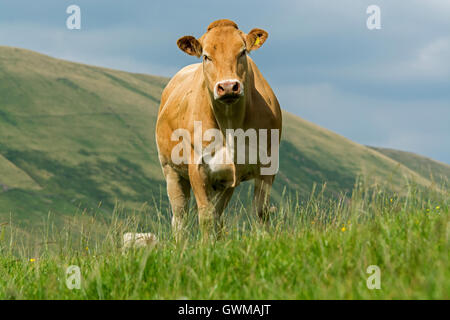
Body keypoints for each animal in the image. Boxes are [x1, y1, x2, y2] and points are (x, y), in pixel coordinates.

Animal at [155, 19, 282, 240]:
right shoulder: (197, 166)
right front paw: (206, 246)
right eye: (206, 56)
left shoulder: (267, 164)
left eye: (242, 51)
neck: (230, 126)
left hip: (223, 181)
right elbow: (206, 216)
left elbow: (261, 212)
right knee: (180, 218)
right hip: (170, 170)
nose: (229, 86)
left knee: (219, 216)